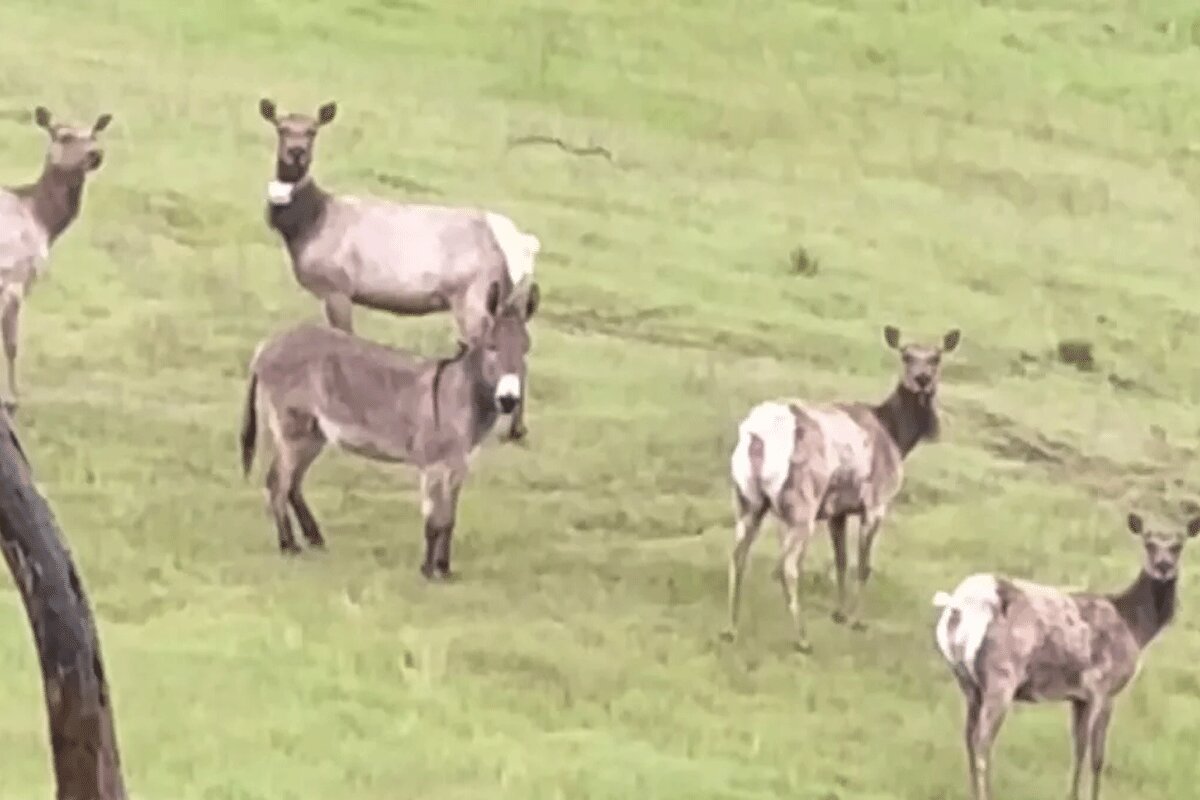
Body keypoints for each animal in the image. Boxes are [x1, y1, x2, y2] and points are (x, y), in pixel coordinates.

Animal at [0, 106, 112, 412]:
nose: (96, 154)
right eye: (64, 135)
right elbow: (12, 344)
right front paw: (12, 399)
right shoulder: (16, 276)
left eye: (94, 133)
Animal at [238, 278, 540, 578]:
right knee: (277, 482)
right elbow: (434, 520)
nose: (509, 400)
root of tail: (266, 346)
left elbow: (449, 520)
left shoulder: (458, 466)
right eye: (492, 347)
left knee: (293, 484)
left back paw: (314, 539)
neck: (459, 395)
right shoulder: (433, 465)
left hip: (313, 434)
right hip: (293, 431)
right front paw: (428, 571)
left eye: (526, 349)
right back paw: (289, 546)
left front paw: (444, 569)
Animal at [256, 98, 540, 443]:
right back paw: (517, 426)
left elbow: (345, 336)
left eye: (312, 130)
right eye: (282, 128)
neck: (308, 226)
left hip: (474, 296)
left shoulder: (338, 286)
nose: (296, 151)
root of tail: (524, 245)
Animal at [720, 326, 964, 652]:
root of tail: (758, 437)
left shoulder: (838, 511)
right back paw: (802, 638)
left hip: (747, 500)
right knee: (787, 566)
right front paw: (857, 620)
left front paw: (839, 613)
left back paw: (731, 628)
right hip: (802, 506)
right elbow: (863, 565)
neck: (898, 438)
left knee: (737, 557)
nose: (922, 379)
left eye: (936, 357)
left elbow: (841, 561)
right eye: (906, 355)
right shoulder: (875, 503)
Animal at [931, 513, 1200, 800]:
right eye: (1148, 543)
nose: (1164, 566)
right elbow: (1097, 756)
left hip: (967, 682)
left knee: (968, 738)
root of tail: (958, 605)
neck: (1135, 627)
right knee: (982, 742)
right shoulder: (1103, 688)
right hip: (1001, 675)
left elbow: (1078, 750)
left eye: (1178, 545)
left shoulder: (1078, 697)